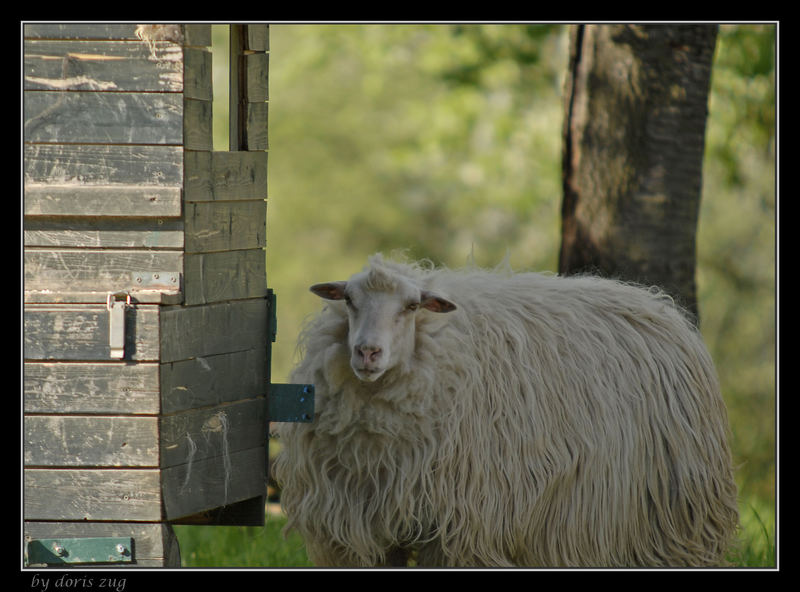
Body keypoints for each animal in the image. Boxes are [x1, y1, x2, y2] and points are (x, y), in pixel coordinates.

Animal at [272, 254, 740, 568]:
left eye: (411, 306)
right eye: (349, 300)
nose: (367, 352)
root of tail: (661, 306)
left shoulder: (458, 528)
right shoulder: (359, 529)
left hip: (671, 518)